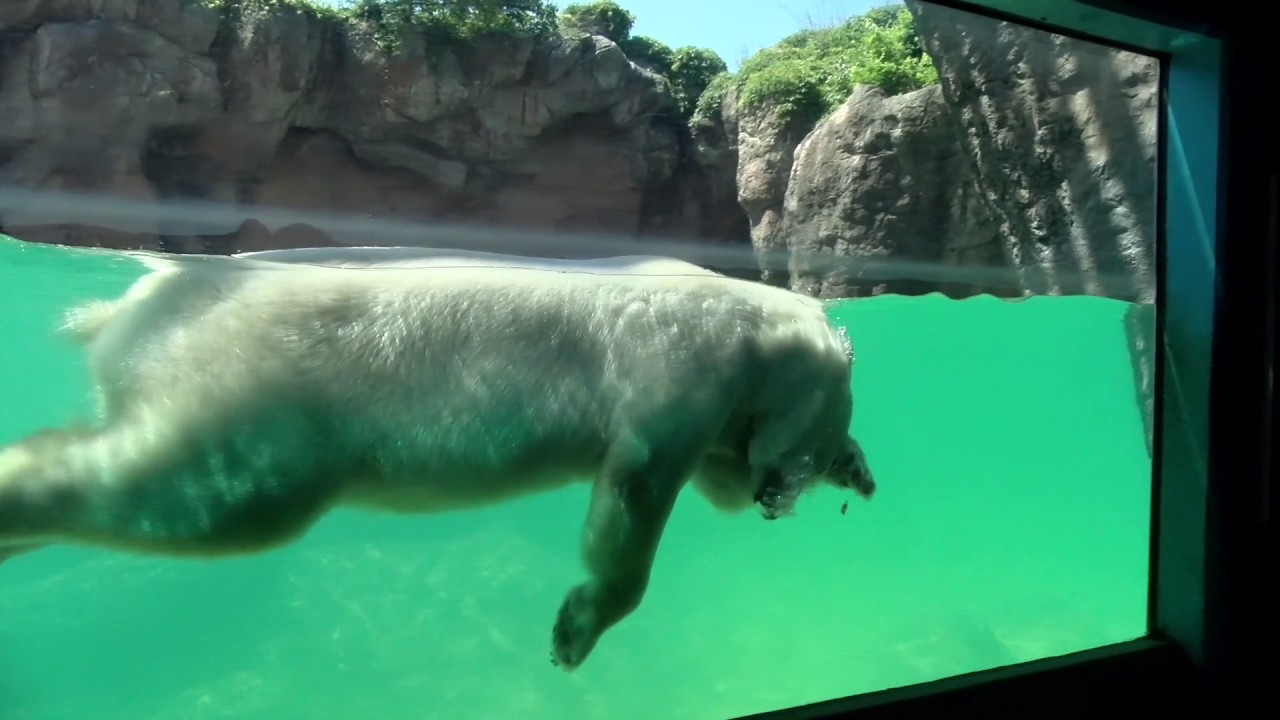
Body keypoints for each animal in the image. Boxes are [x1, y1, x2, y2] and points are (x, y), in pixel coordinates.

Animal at [0, 244, 875, 666]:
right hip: (267, 395)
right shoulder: (686, 365)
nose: (778, 498)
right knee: (197, 499)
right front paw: (575, 629)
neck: (755, 325)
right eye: (815, 452)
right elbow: (635, 492)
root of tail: (131, 310)